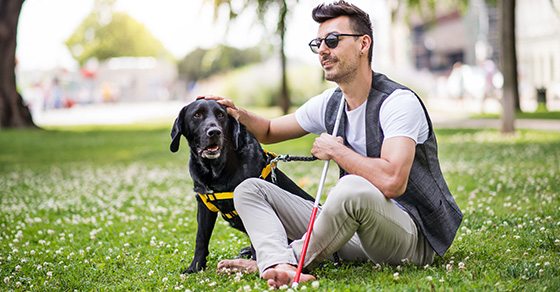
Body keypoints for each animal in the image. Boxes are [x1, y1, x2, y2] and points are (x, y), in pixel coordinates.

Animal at [170, 98, 316, 274]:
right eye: (197, 115)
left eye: (221, 115)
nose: (214, 132)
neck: (216, 169)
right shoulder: (204, 204)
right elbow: (201, 239)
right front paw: (195, 268)